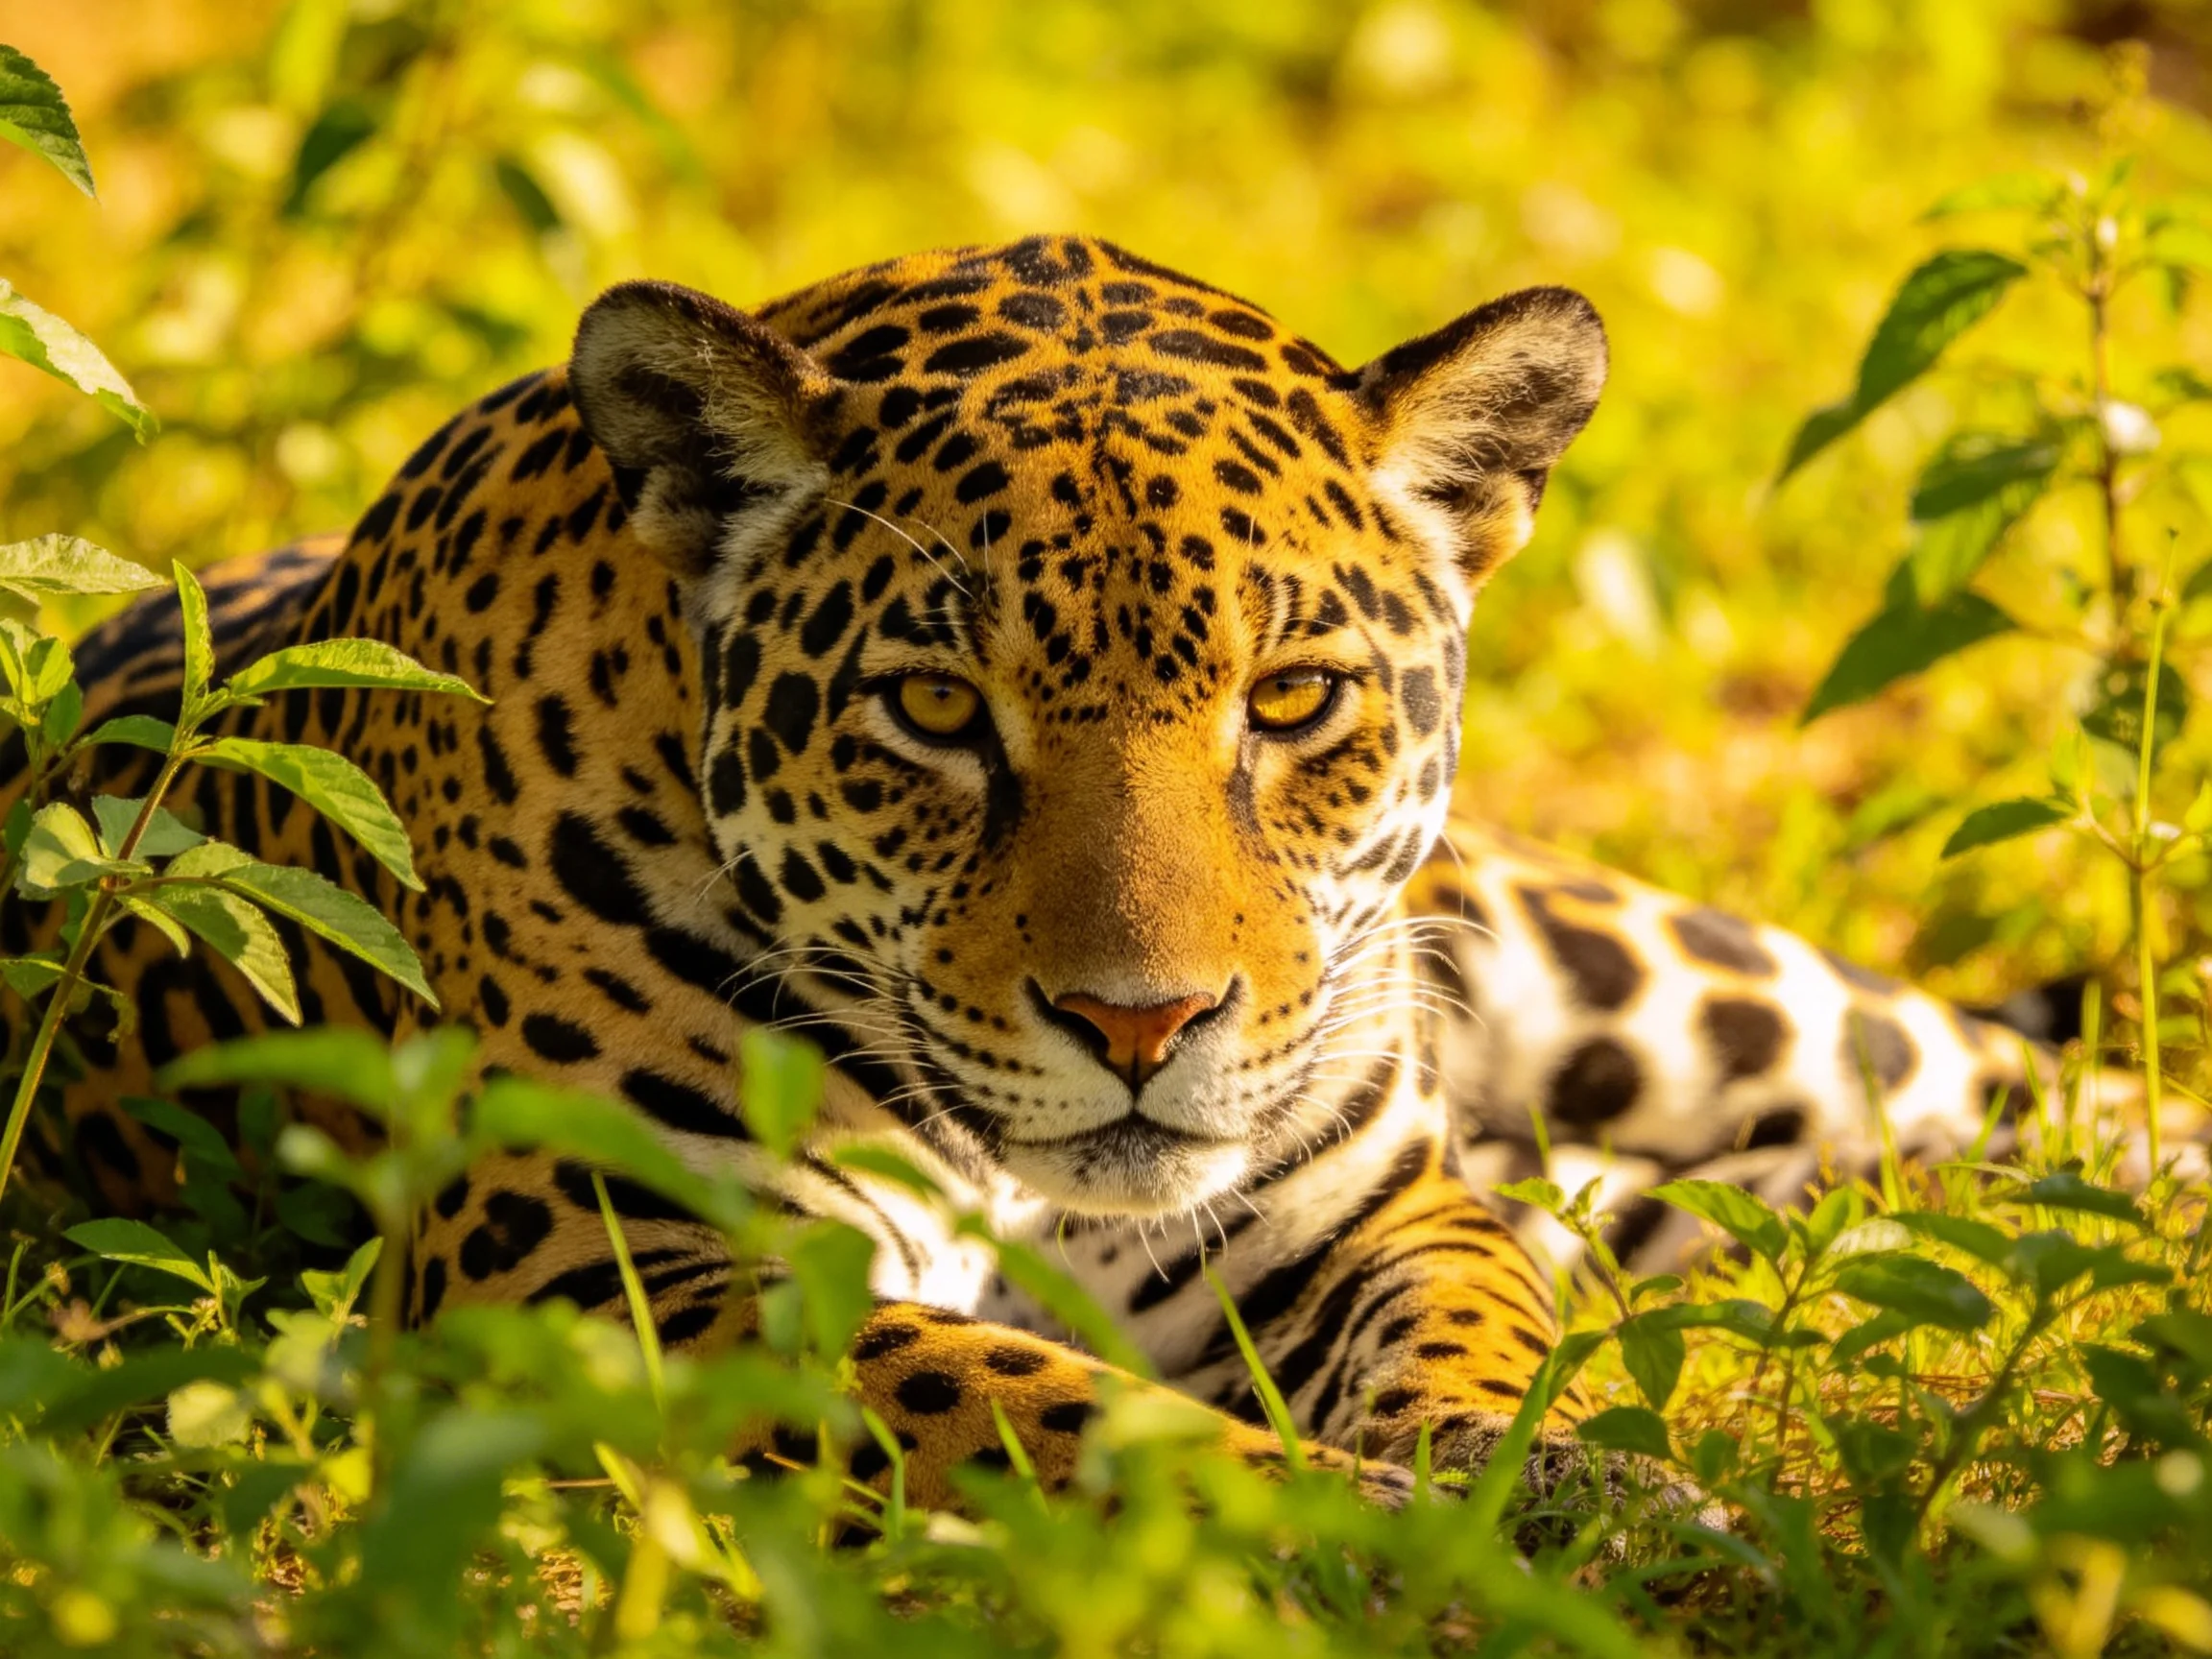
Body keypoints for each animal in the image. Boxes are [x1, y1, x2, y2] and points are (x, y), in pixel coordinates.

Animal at [6, 234, 2100, 1512]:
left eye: (1293, 696)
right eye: (936, 706)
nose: (1142, 1024)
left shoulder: (1368, 1215)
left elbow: (1475, 1350)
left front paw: (1573, 1501)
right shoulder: (598, 1269)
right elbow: (1082, 1426)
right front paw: (1395, 1546)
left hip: (1642, 982)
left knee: (1991, 1074)